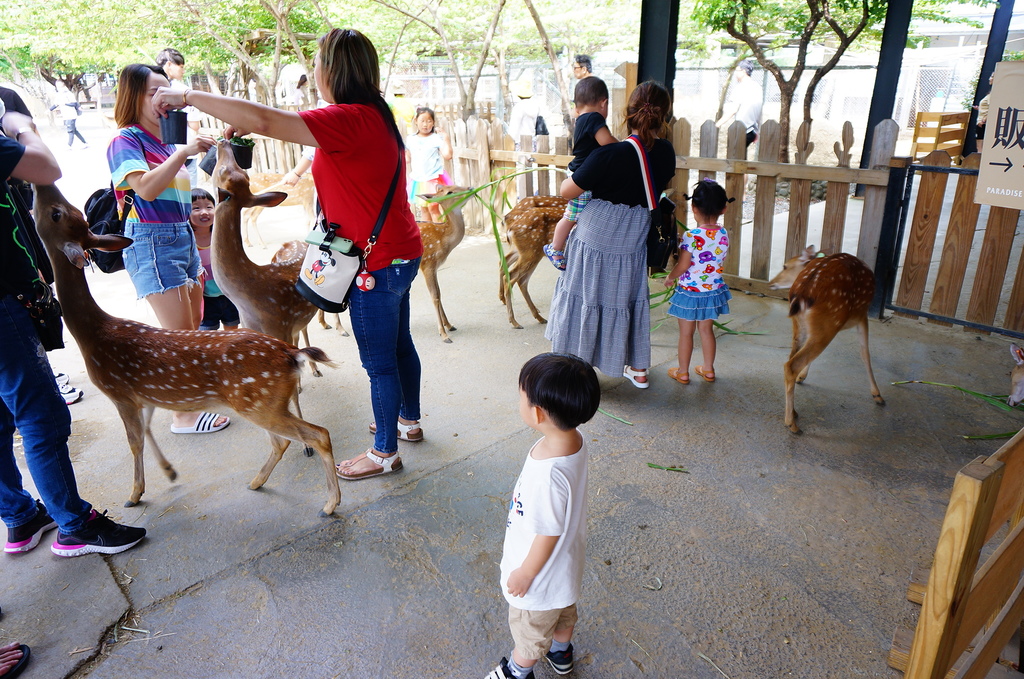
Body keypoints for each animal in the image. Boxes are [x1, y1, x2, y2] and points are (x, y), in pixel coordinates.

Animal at [33, 184, 339, 516]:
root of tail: (289, 355)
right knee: (283, 441)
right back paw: (257, 482)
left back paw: (329, 503)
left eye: (56, 213)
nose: (40, 186)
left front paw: (135, 494)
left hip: (259, 402)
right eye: (67, 212)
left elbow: (134, 441)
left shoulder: (119, 392)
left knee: (318, 434)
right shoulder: (144, 395)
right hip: (262, 402)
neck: (93, 334)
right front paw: (169, 473)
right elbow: (148, 430)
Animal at [415, 186, 471, 342]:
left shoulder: (435, 267)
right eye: (449, 192)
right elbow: (434, 296)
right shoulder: (427, 264)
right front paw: (444, 334)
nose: (470, 188)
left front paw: (450, 325)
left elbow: (439, 293)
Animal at [497, 193, 569, 329]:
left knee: (508, 267)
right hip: (530, 252)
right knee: (513, 276)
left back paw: (539, 317)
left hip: (525, 251)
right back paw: (515, 321)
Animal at [770, 244, 880, 436]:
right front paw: (878, 395)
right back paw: (792, 424)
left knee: (790, 359)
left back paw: (794, 411)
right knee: (791, 364)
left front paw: (803, 377)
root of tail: (801, 294)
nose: (771, 283)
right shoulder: (862, 314)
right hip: (829, 321)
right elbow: (865, 353)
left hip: (801, 325)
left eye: (785, 266)